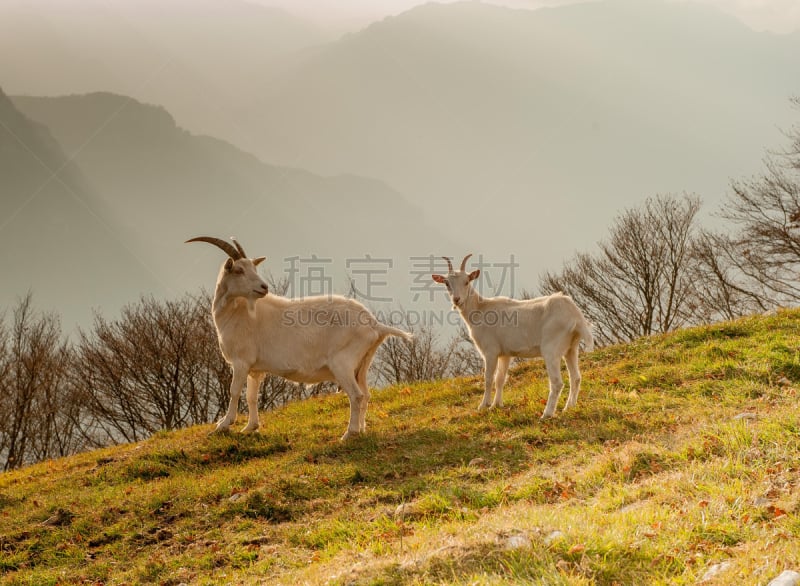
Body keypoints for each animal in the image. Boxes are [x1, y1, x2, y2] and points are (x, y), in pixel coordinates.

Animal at [188, 234, 412, 438]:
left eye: (252, 268)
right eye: (239, 270)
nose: (263, 288)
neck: (238, 312)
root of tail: (374, 324)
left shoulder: (241, 361)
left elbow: (235, 392)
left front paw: (223, 425)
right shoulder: (256, 368)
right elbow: (252, 396)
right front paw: (250, 427)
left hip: (342, 363)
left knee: (356, 395)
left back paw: (350, 433)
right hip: (362, 364)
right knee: (365, 394)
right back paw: (362, 429)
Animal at [432, 253, 592, 418]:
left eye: (466, 281)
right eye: (447, 283)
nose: (456, 300)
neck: (480, 310)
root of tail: (575, 315)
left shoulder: (490, 351)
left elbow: (488, 378)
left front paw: (483, 406)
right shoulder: (505, 354)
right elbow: (500, 379)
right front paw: (496, 405)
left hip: (551, 349)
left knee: (557, 382)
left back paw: (546, 414)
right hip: (571, 348)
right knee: (576, 377)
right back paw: (569, 407)